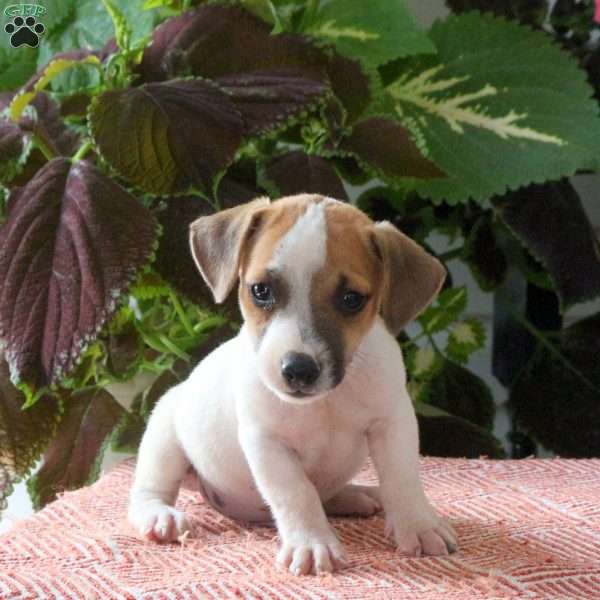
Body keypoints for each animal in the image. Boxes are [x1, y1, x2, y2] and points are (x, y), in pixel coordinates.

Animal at [129, 195, 458, 576]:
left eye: (351, 299)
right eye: (261, 291)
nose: (298, 369)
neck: (326, 401)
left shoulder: (393, 423)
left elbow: (403, 477)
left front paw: (418, 524)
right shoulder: (268, 443)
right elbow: (297, 493)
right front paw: (312, 543)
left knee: (332, 493)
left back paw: (357, 494)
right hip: (164, 437)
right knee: (148, 489)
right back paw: (159, 516)